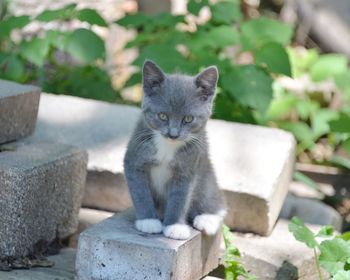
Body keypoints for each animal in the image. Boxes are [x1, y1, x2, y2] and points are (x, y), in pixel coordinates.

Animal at [123, 60, 227, 240]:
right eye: (162, 116)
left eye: (188, 119)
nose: (173, 134)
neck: (167, 146)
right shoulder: (134, 160)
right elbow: (140, 192)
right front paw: (148, 221)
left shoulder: (188, 168)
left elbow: (180, 197)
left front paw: (175, 226)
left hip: (206, 171)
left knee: (214, 199)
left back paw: (207, 219)